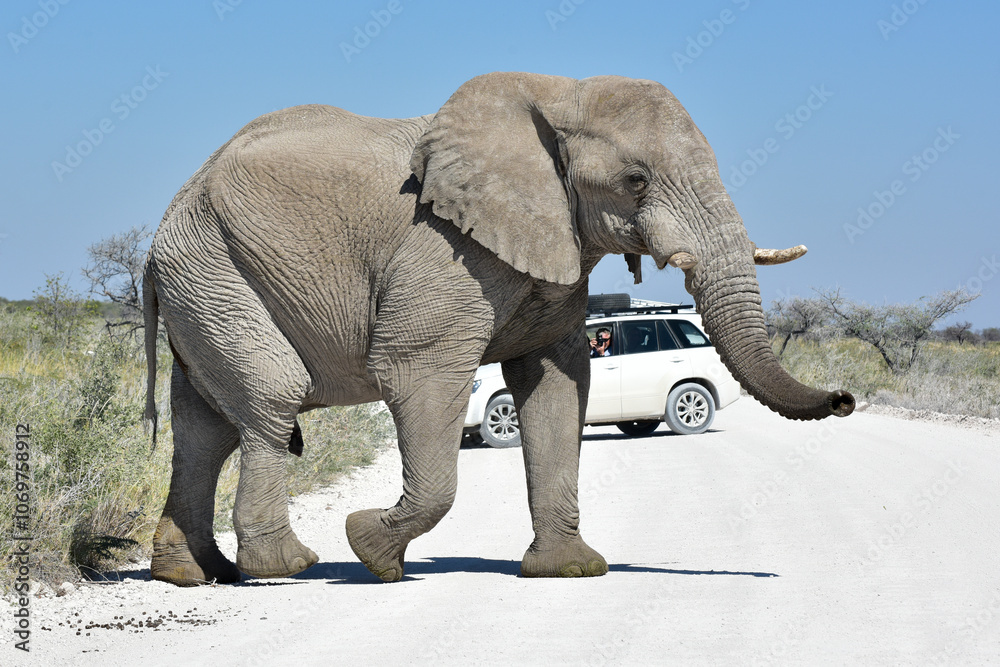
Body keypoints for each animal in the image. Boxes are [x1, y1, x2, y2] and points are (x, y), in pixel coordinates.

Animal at [142, 71, 854, 586]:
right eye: (635, 179)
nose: (847, 399)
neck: (557, 97)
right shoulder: (444, 251)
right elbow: (420, 373)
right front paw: (370, 548)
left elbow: (555, 384)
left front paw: (569, 570)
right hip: (210, 265)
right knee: (270, 396)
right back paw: (286, 567)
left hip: (201, 279)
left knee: (204, 428)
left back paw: (192, 574)